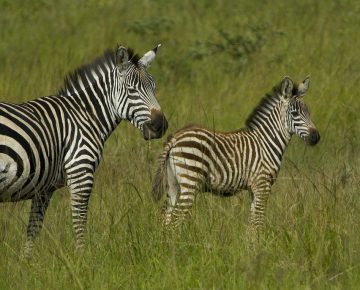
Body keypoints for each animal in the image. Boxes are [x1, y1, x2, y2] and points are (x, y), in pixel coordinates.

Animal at [0, 43, 168, 256]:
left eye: (154, 87)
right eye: (131, 90)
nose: (160, 125)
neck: (85, 116)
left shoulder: (44, 189)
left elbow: (33, 229)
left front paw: (26, 262)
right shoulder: (81, 172)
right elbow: (79, 222)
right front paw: (82, 259)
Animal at [150, 76, 320, 232]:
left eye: (309, 112)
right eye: (295, 113)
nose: (316, 137)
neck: (267, 141)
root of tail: (175, 137)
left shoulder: (253, 188)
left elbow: (252, 222)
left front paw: (250, 244)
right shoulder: (262, 185)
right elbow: (258, 221)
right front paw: (259, 244)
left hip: (173, 184)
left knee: (166, 217)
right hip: (190, 181)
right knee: (176, 219)